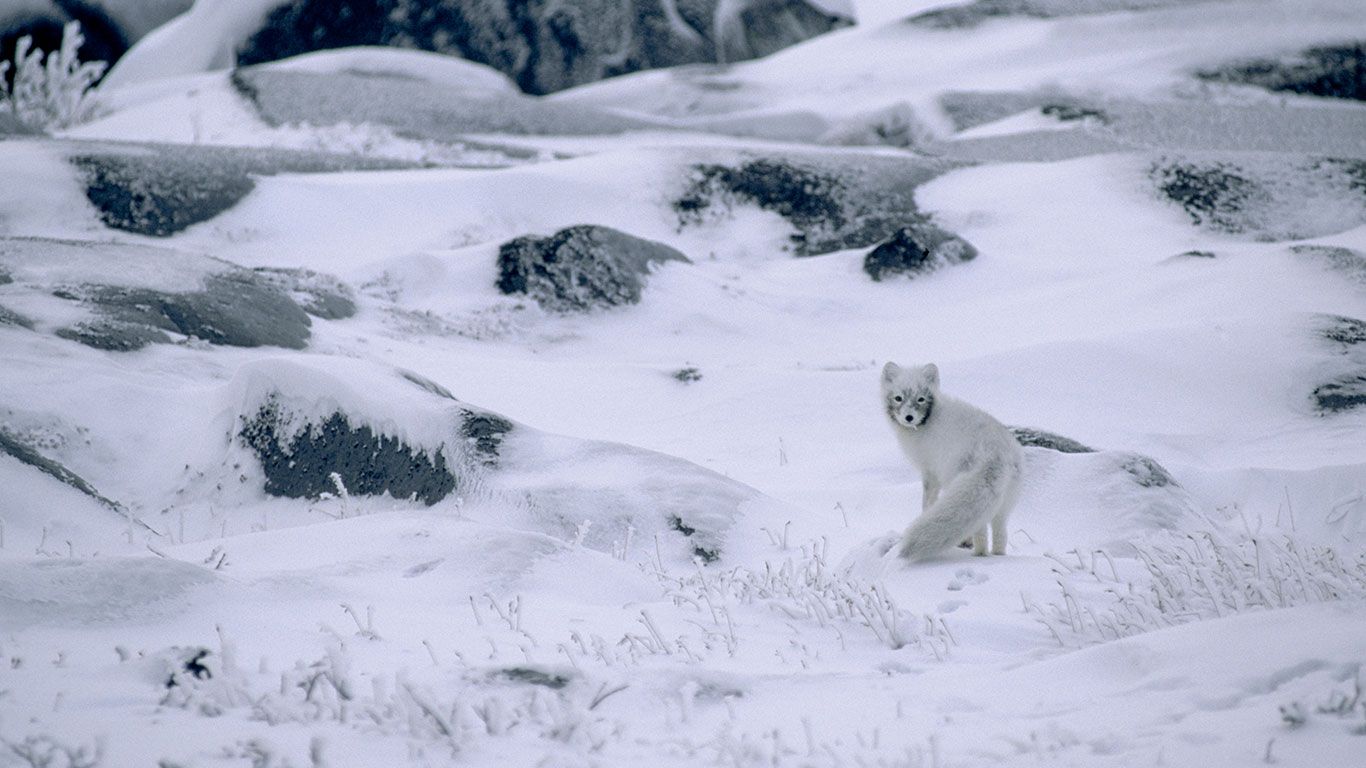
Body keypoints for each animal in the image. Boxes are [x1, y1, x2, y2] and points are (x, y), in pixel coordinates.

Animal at [881, 362, 1023, 561]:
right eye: (898, 398)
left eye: (921, 399)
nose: (909, 418)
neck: (928, 420)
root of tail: (998, 454)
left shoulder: (930, 472)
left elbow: (927, 502)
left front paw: (924, 513)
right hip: (1004, 505)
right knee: (1000, 534)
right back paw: (998, 556)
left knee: (981, 532)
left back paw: (978, 553)